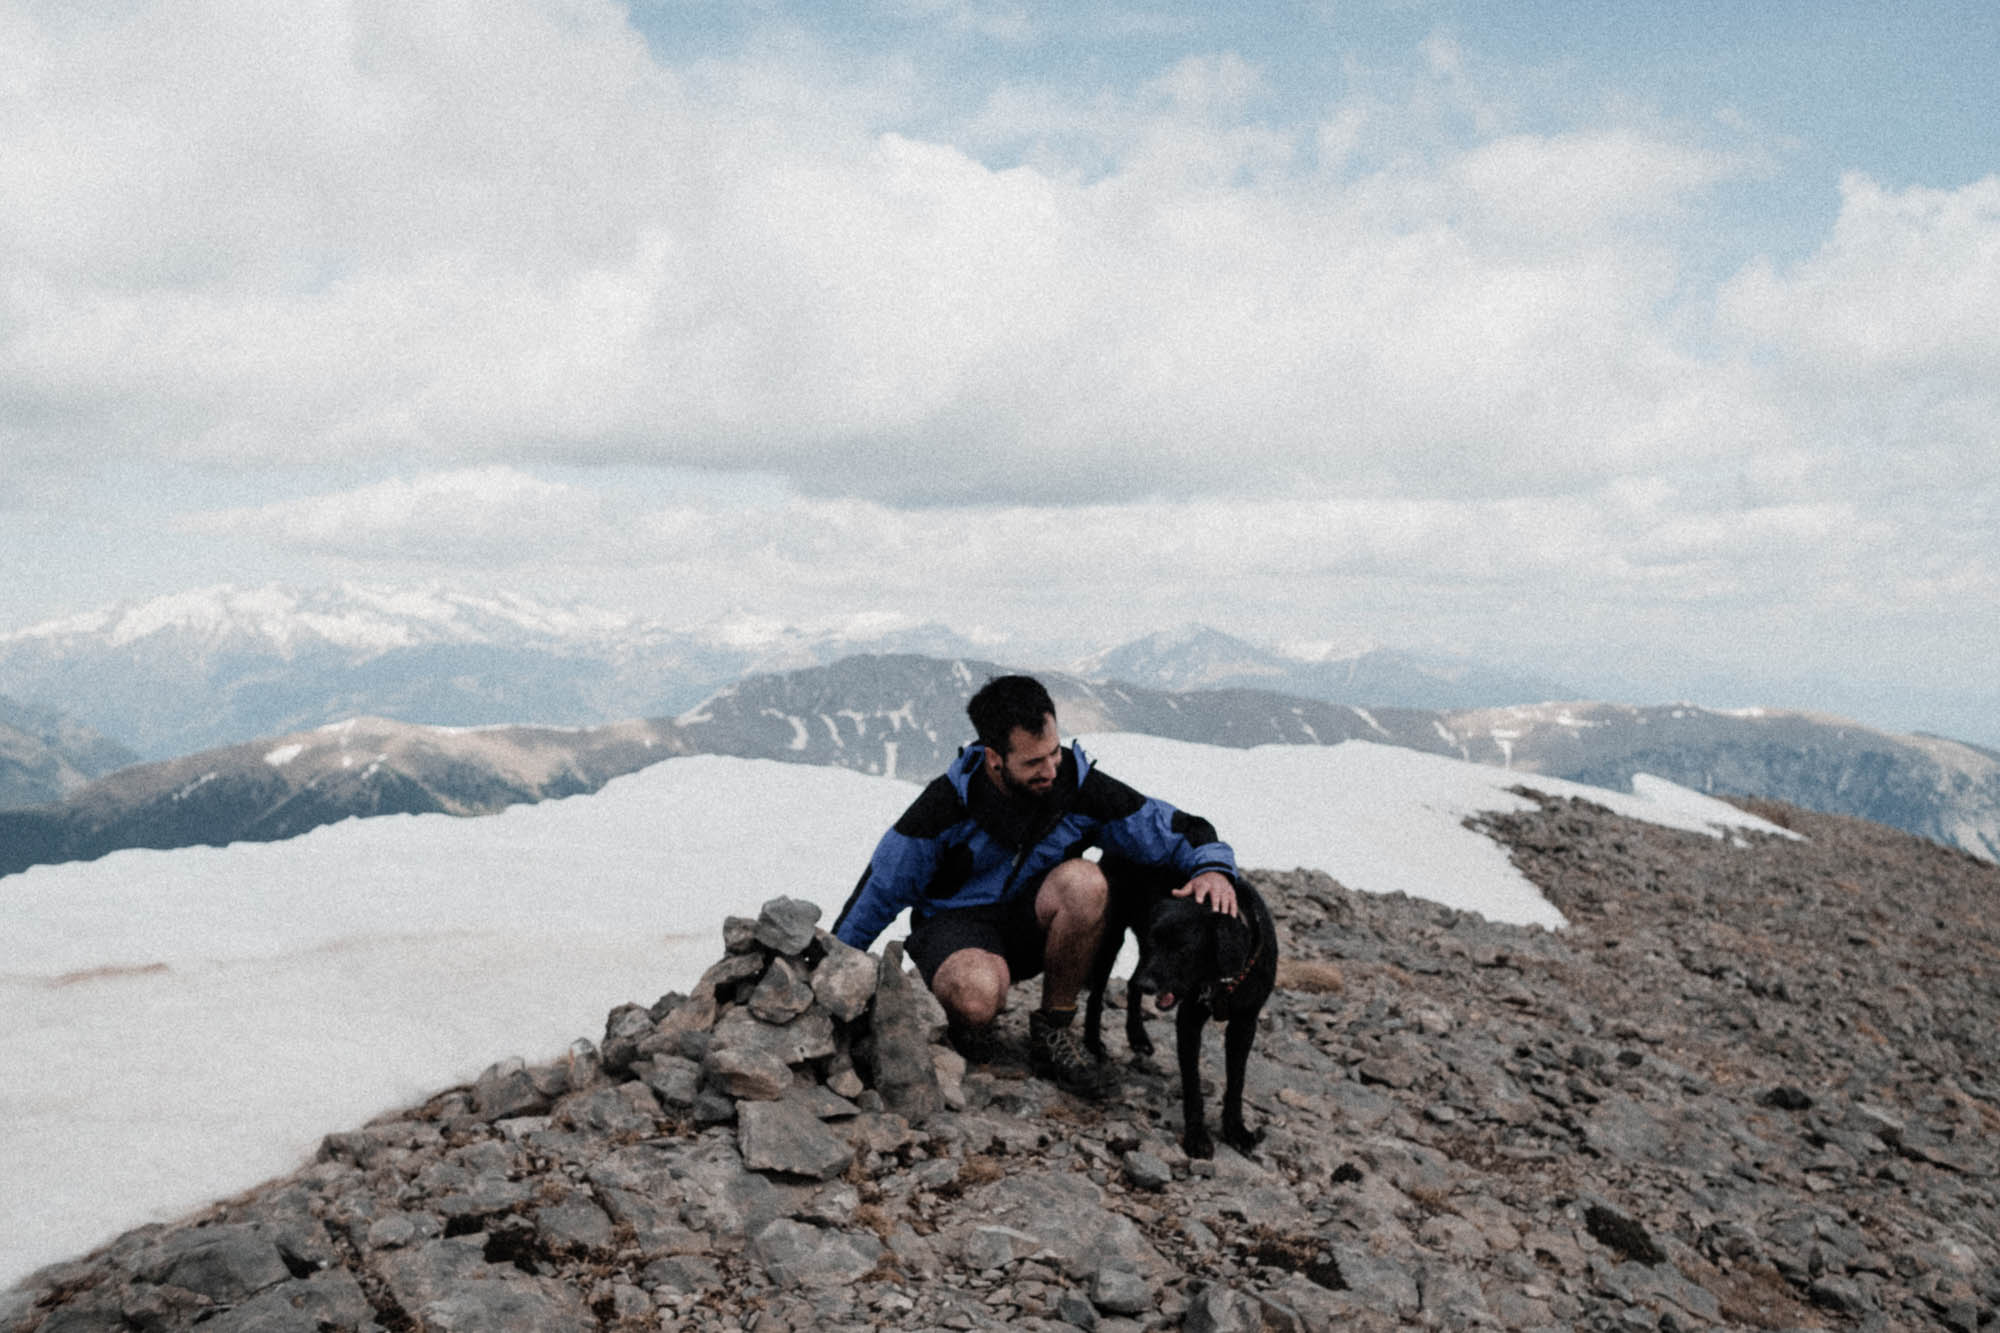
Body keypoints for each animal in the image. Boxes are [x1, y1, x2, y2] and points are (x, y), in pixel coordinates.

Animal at [1088, 860, 1272, 1152]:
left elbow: (1237, 1080)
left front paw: (1236, 1129)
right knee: (1097, 994)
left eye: (1183, 950)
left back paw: (1137, 1034)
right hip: (1113, 935)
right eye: (1156, 941)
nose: (1148, 984)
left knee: (1131, 984)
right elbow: (1192, 1083)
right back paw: (1093, 1041)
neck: (1224, 979)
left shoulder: (1245, 1022)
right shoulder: (1189, 1021)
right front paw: (1196, 1136)